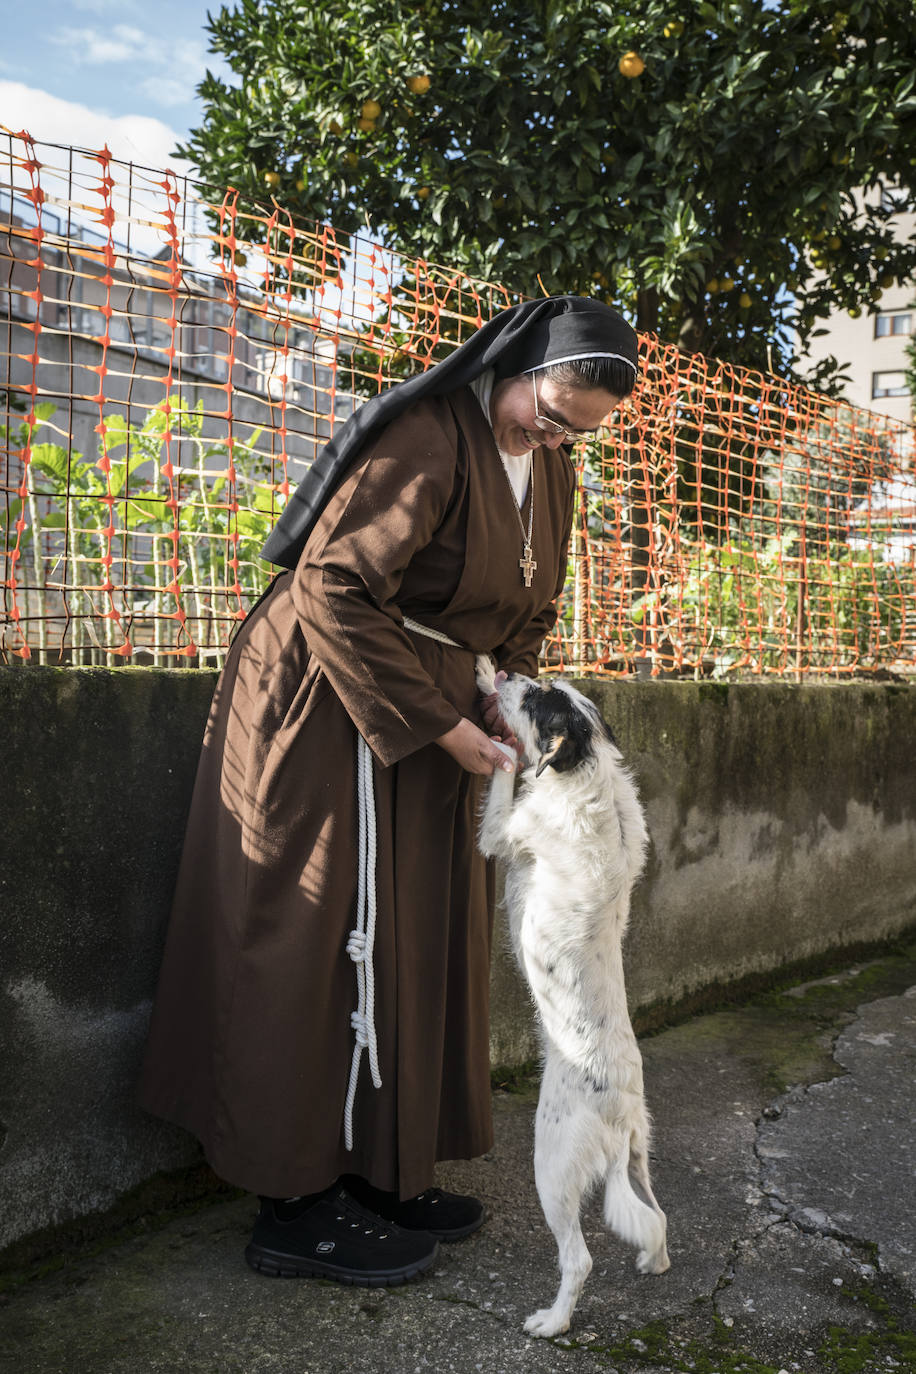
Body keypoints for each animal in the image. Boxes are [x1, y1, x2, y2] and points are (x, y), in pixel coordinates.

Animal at [477, 659, 670, 1335]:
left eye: (536, 698)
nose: (510, 667)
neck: (586, 770)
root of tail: (618, 1115)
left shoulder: (500, 833)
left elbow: (505, 771)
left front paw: (484, 686)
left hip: (552, 1167)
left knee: (579, 1258)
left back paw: (554, 1321)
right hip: (639, 1159)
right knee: (657, 1217)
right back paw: (655, 1262)